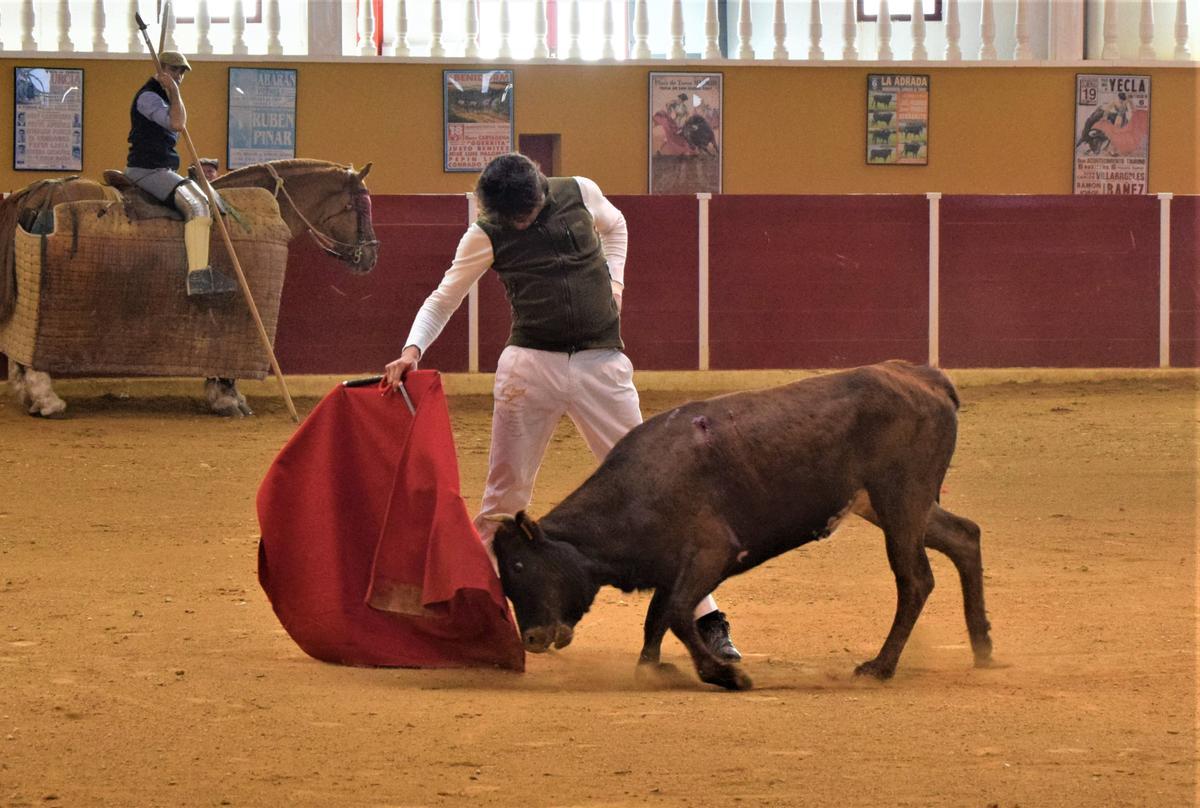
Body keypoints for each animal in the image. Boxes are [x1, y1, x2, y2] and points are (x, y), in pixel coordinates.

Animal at [2, 160, 376, 420]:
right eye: (359, 206)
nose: (371, 256)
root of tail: (44, 189)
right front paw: (227, 397)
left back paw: (29, 396)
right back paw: (47, 399)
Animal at [489, 362, 993, 691]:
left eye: (519, 565)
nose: (532, 639)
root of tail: (925, 377)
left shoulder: (711, 554)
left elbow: (676, 614)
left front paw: (725, 674)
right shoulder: (673, 568)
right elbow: (658, 616)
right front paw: (653, 668)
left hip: (901, 501)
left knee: (915, 579)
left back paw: (881, 666)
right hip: (895, 505)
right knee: (965, 536)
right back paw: (982, 646)